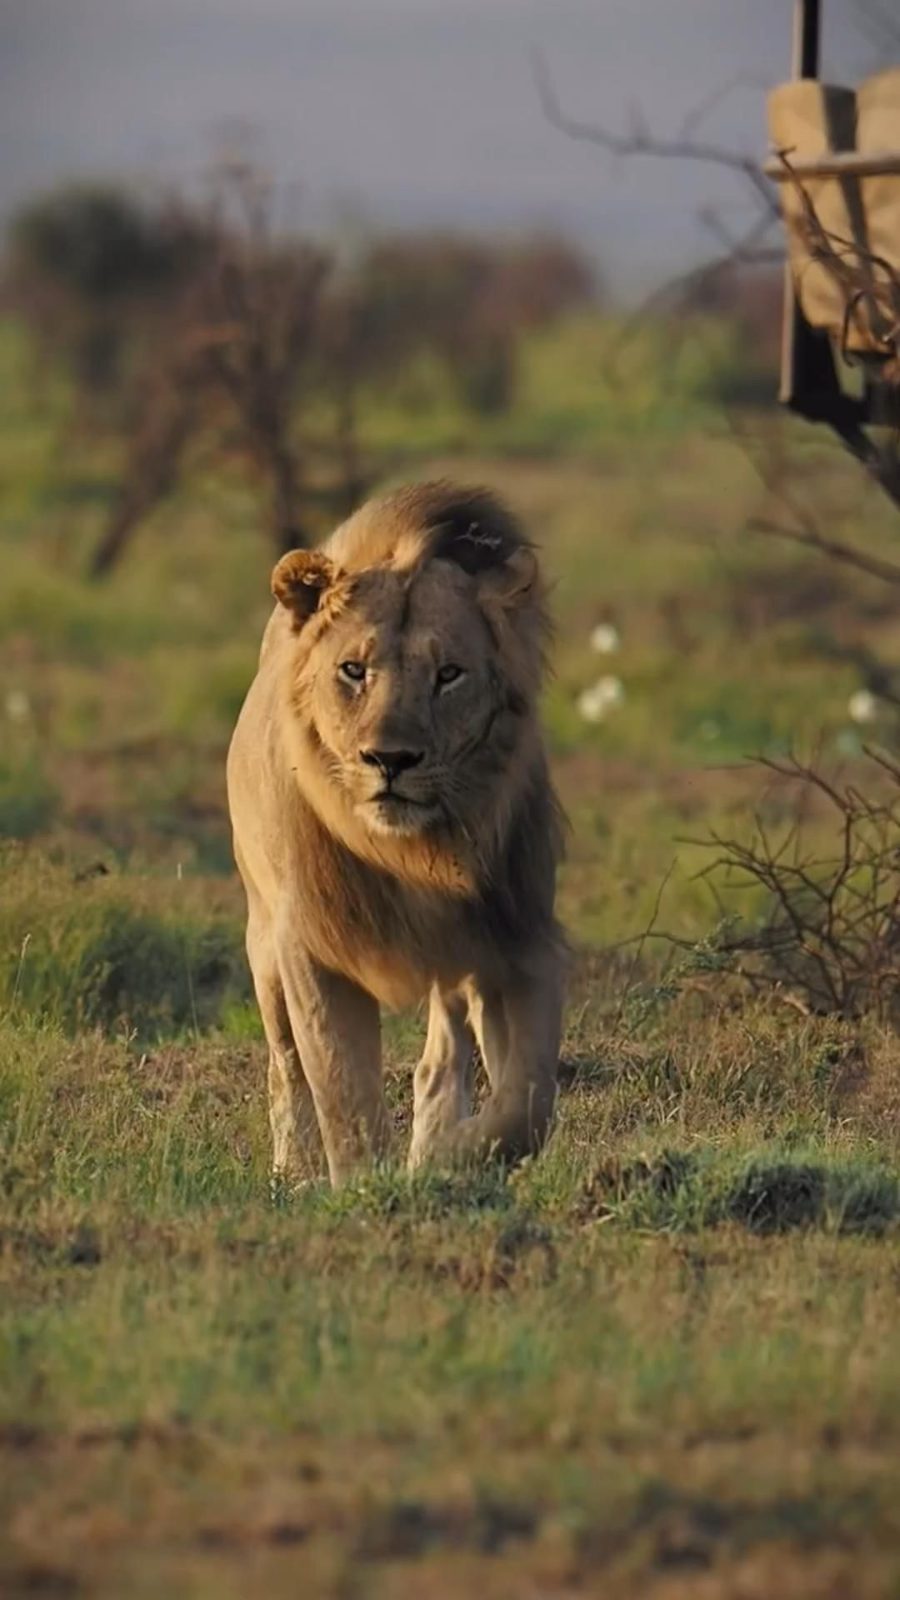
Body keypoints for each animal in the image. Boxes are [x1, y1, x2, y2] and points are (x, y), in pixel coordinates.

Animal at [226, 480, 565, 1185]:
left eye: (449, 674)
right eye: (354, 671)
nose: (390, 759)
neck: (415, 855)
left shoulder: (521, 938)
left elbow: (528, 1101)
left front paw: (454, 1159)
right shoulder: (312, 948)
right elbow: (342, 1089)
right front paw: (365, 1187)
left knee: (442, 1057)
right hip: (263, 941)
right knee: (286, 1067)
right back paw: (292, 1172)